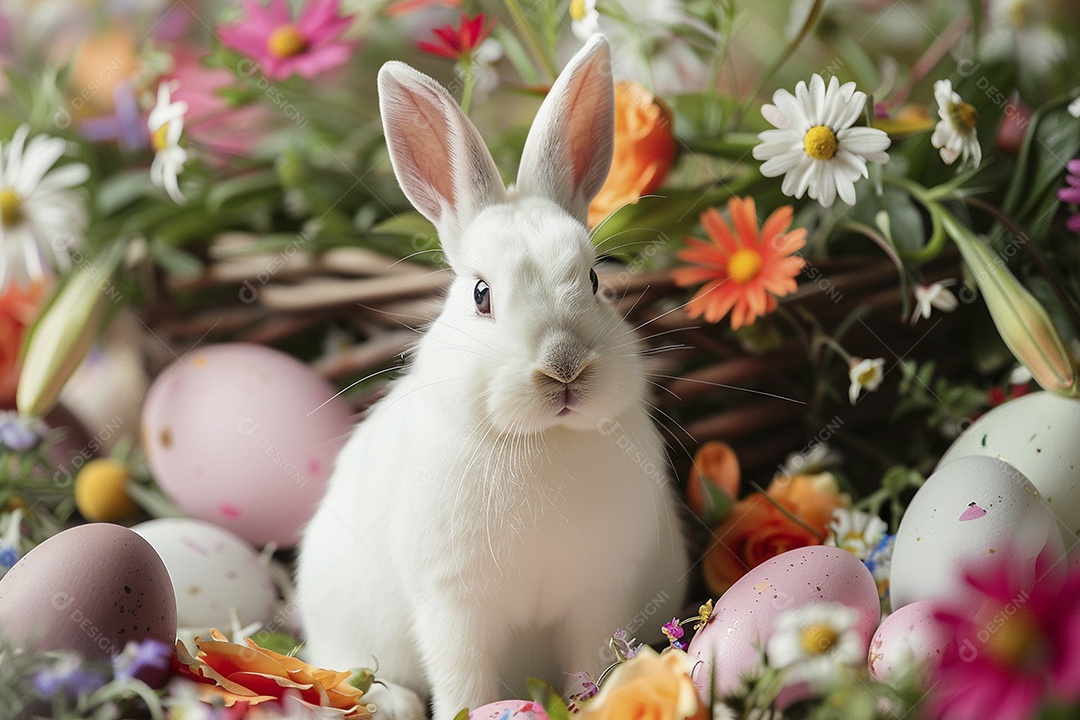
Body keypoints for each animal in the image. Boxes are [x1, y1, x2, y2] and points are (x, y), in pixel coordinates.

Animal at [295, 33, 682, 720]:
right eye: (481, 295)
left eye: (594, 280)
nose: (563, 366)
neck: (541, 442)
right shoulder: (454, 602)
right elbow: (463, 677)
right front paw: (466, 710)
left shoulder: (599, 591)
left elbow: (590, 660)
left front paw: (591, 700)